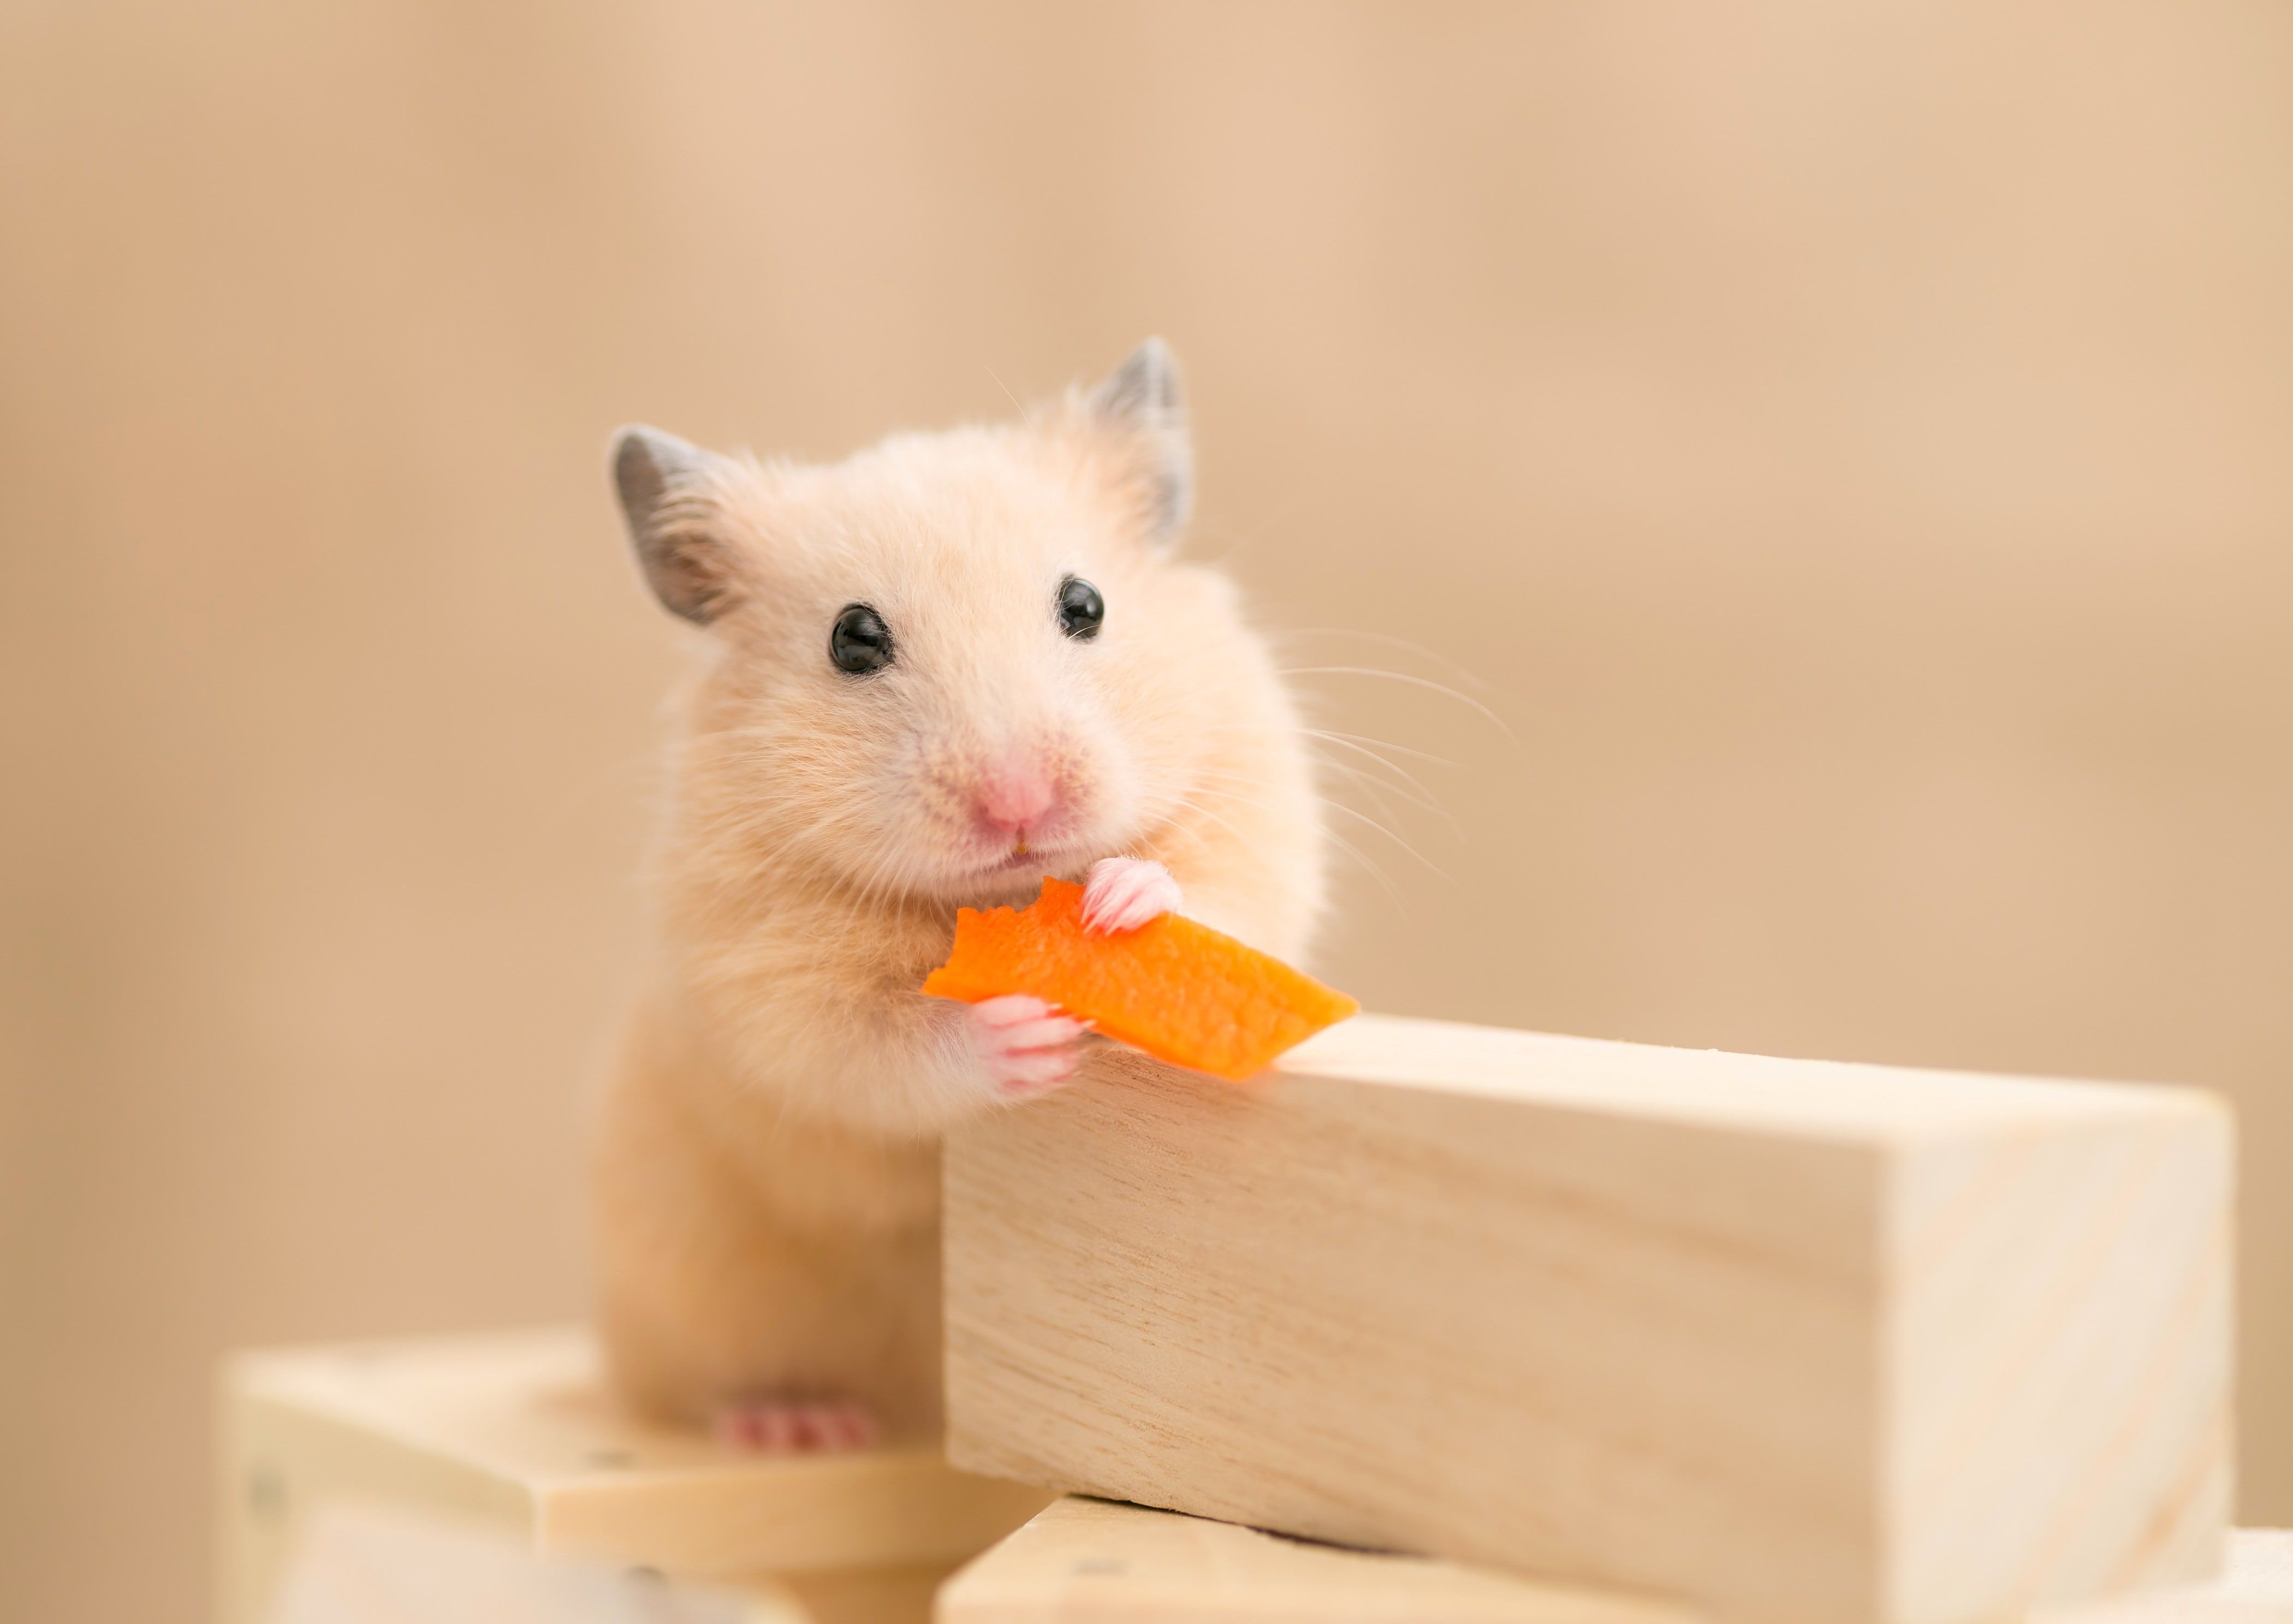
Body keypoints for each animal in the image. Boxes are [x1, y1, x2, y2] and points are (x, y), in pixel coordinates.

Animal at [593, 341, 1326, 1450]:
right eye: (853, 639)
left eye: (1086, 604)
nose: (1020, 801)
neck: (1003, 900)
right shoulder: (765, 980)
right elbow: (876, 1050)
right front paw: (1024, 1034)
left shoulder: (1253, 795)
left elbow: (1222, 889)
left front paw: (1123, 896)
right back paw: (799, 1424)